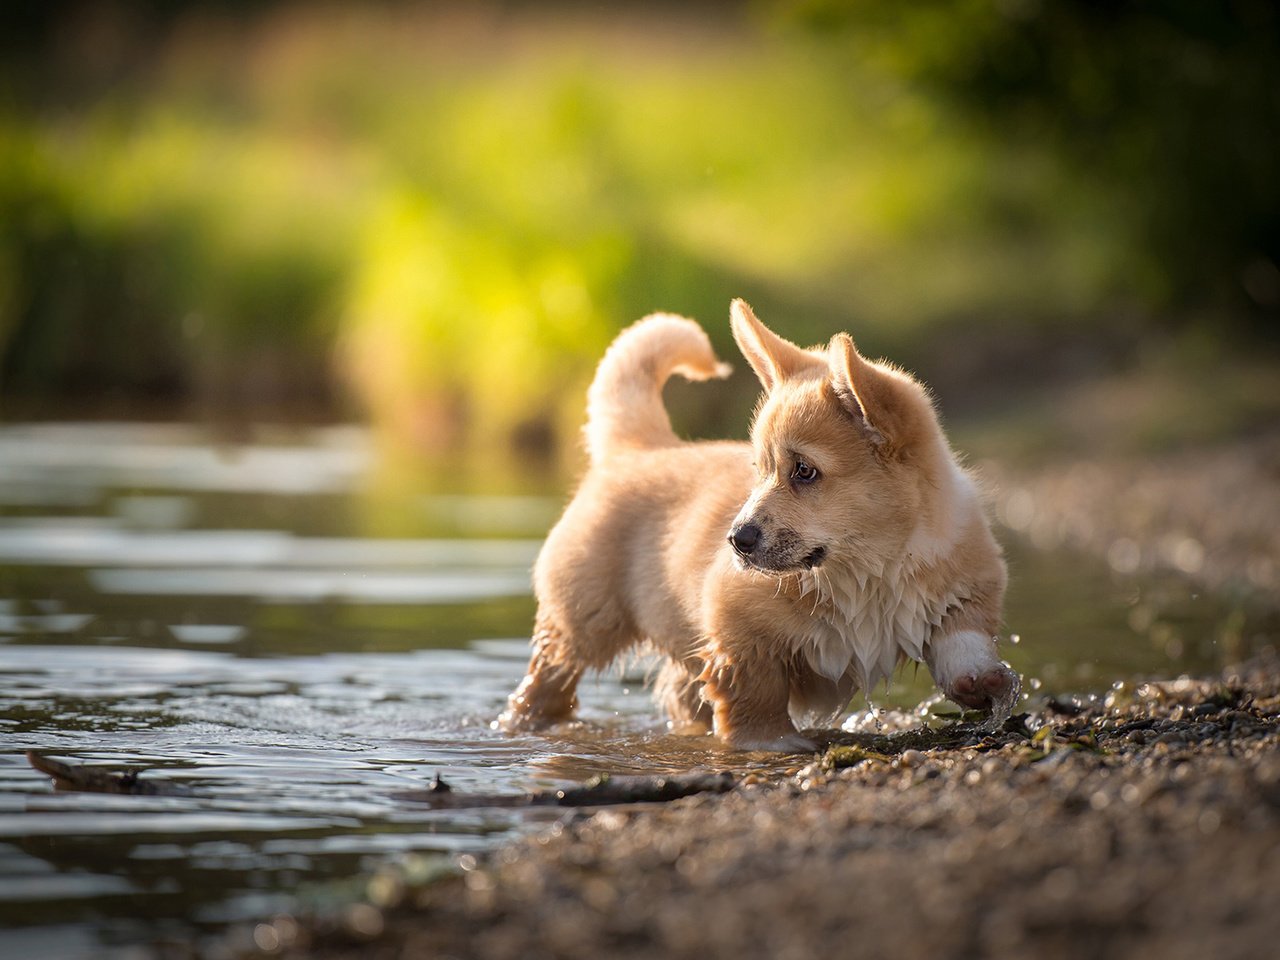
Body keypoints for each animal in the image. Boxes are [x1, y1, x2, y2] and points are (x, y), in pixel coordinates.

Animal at [494, 300, 1013, 752]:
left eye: (804, 471)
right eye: (759, 469)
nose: (735, 541)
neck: (868, 573)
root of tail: (638, 448)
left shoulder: (964, 592)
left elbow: (962, 643)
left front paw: (983, 683)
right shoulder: (738, 630)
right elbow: (755, 692)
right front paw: (769, 742)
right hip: (581, 620)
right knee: (548, 680)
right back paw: (523, 722)